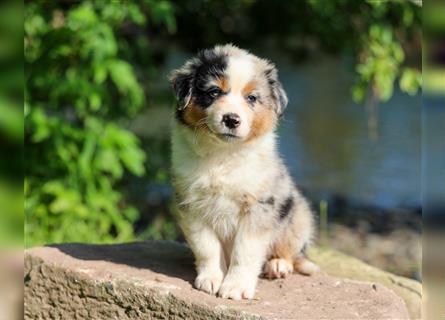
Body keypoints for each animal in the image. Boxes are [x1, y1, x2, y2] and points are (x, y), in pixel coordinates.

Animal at [168, 44, 318, 300]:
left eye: (252, 98)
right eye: (214, 92)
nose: (231, 119)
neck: (223, 155)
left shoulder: (258, 207)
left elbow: (244, 252)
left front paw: (235, 287)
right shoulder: (193, 206)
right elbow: (207, 247)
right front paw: (211, 279)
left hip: (297, 214)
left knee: (291, 250)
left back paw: (278, 265)